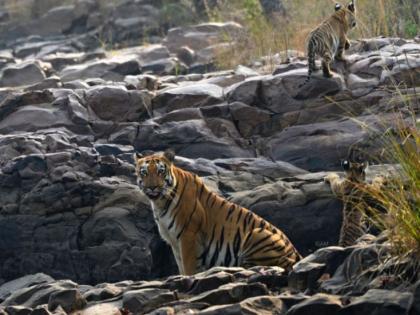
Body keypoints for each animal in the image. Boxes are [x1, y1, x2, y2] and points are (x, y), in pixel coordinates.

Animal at [135, 149, 302, 276]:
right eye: (144, 173)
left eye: (160, 172)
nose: (152, 187)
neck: (160, 202)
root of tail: (296, 253)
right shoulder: (174, 241)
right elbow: (181, 265)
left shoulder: (188, 235)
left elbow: (188, 267)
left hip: (257, 233)